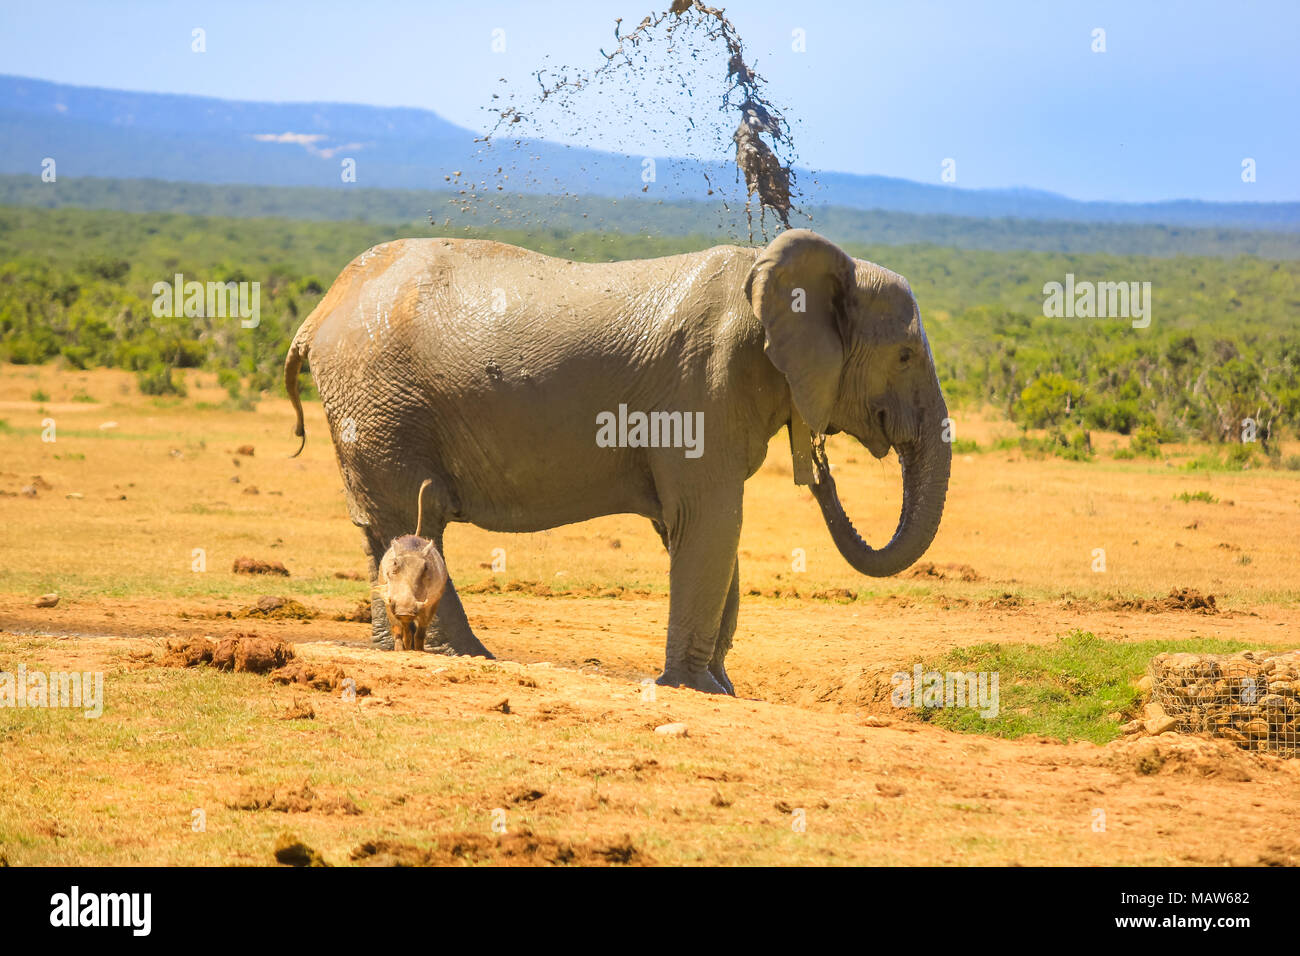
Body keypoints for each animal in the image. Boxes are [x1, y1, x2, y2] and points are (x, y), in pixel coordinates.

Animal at [284, 231, 951, 697]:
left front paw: (725, 689)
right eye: (905, 355)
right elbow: (710, 523)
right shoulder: (703, 384)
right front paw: (696, 689)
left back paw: (397, 652)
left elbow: (705, 531)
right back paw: (464, 658)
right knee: (411, 519)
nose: (819, 463)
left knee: (388, 527)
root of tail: (319, 313)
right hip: (381, 401)